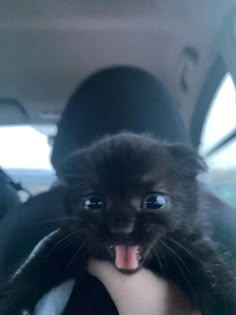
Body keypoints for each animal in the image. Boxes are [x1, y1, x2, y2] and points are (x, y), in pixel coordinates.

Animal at [0, 133, 236, 315]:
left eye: (155, 201)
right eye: (93, 202)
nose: (122, 228)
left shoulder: (195, 249)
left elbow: (218, 280)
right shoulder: (62, 244)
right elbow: (29, 272)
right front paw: (10, 305)